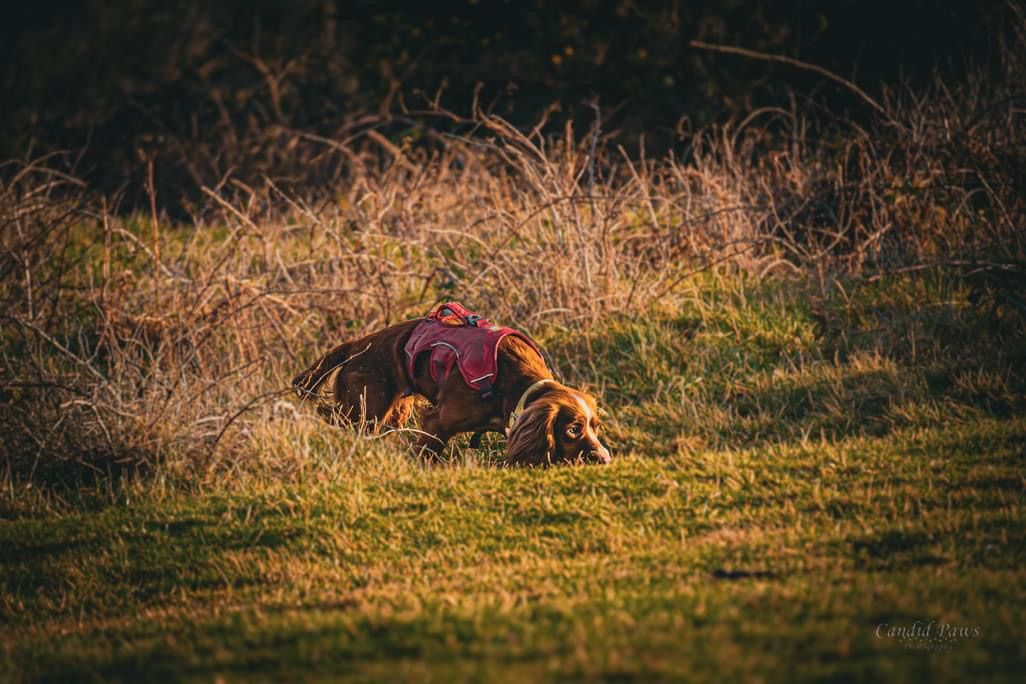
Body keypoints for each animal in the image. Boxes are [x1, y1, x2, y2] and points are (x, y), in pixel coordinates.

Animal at [289, 303, 607, 467]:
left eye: (595, 426)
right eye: (573, 429)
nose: (604, 458)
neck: (512, 384)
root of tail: (356, 345)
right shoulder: (438, 420)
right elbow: (427, 451)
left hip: (392, 412)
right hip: (367, 410)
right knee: (334, 416)